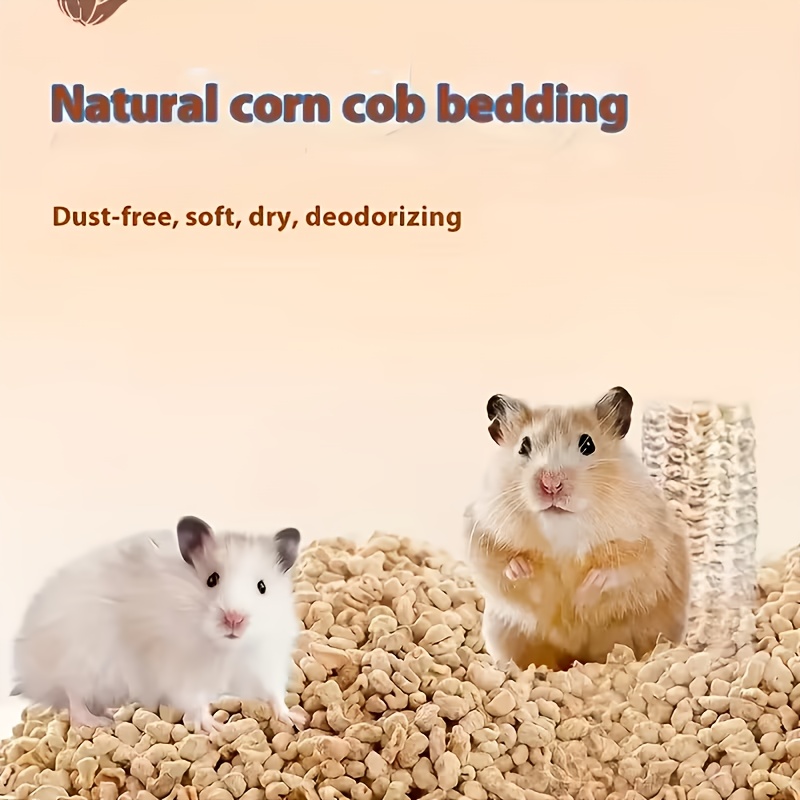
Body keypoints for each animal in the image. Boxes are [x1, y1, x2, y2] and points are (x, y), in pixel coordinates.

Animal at [12, 516, 307, 733]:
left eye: (262, 587)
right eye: (212, 579)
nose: (235, 619)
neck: (226, 649)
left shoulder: (265, 661)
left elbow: (274, 694)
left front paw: (294, 718)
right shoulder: (180, 671)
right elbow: (196, 701)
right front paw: (215, 728)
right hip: (82, 661)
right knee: (73, 696)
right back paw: (99, 721)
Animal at [464, 386, 691, 671]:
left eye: (588, 444)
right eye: (523, 446)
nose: (551, 484)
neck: (562, 526)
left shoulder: (650, 541)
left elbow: (629, 566)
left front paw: (585, 590)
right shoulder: (480, 532)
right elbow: (498, 564)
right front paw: (524, 570)